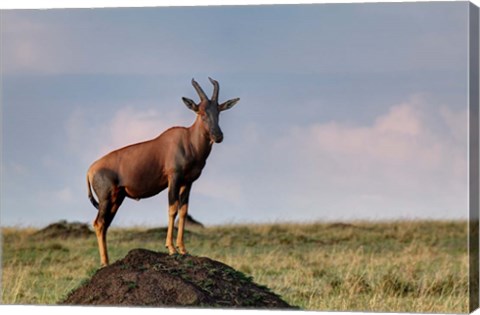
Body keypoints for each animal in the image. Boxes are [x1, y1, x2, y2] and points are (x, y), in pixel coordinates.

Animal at [86, 79, 240, 266]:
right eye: (201, 112)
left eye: (218, 111)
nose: (218, 136)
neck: (187, 140)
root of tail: (90, 170)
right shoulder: (173, 179)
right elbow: (172, 209)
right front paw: (171, 249)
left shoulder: (188, 182)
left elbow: (183, 211)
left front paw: (183, 249)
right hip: (106, 198)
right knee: (99, 223)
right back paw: (105, 263)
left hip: (117, 198)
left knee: (105, 224)